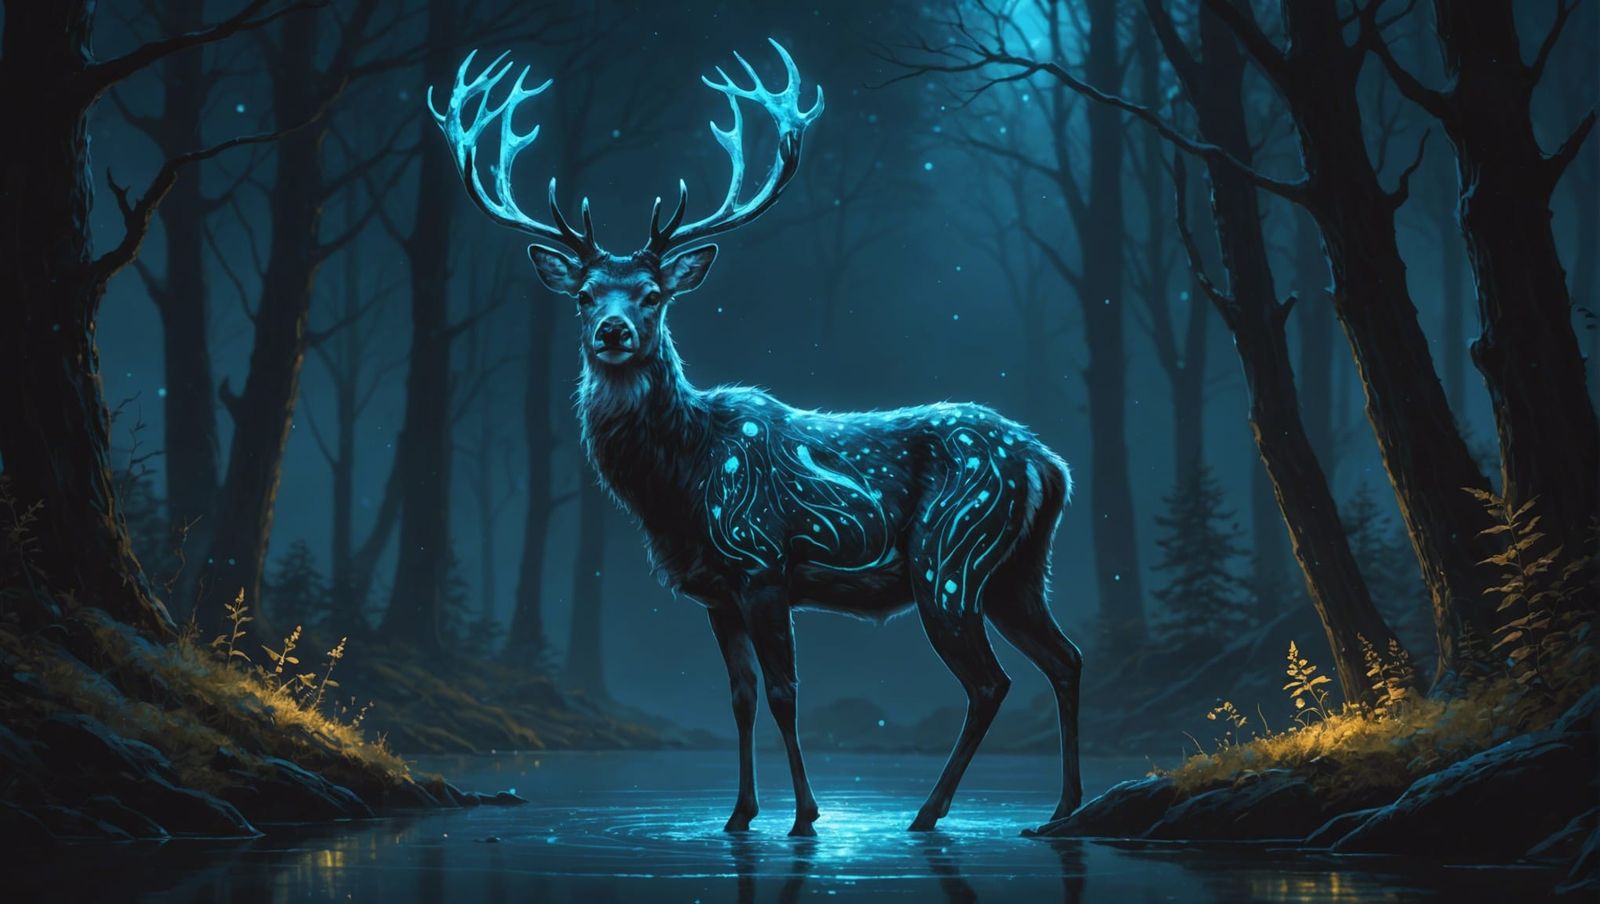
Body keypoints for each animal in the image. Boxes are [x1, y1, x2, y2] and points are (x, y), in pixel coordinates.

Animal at [430, 40, 1083, 835]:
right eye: (585, 295)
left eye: (652, 295)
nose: (613, 332)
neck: (679, 485)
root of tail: (1052, 466)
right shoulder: (715, 590)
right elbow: (740, 699)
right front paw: (739, 814)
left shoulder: (761, 559)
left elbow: (784, 693)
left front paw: (805, 815)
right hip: (1019, 570)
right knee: (1065, 659)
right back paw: (1060, 810)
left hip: (952, 554)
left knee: (991, 681)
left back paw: (929, 814)